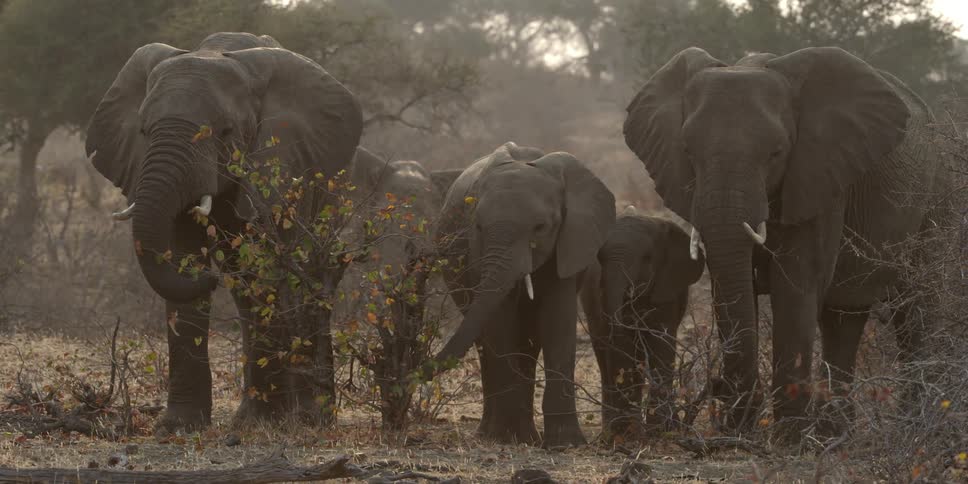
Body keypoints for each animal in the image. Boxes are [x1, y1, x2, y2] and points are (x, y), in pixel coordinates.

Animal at [86, 32, 363, 431]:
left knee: (309, 273)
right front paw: (178, 426)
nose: (210, 278)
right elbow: (180, 255)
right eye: (143, 131)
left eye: (226, 132)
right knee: (248, 293)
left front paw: (260, 426)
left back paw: (310, 418)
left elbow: (266, 267)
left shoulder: (282, 164)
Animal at [428, 141, 616, 448]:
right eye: (478, 226)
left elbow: (557, 320)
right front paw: (507, 438)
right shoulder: (477, 252)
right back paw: (495, 434)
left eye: (540, 227)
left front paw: (566, 444)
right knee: (487, 342)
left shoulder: (569, 241)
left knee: (529, 341)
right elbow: (501, 321)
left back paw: (527, 435)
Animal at [579, 211, 704, 440]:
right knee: (603, 354)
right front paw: (627, 436)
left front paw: (662, 432)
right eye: (600, 259)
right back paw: (612, 432)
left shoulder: (667, 288)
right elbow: (622, 346)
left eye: (647, 258)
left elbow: (662, 342)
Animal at [623, 46, 945, 435]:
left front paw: (789, 438)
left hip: (936, 200)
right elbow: (731, 283)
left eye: (776, 152)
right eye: (687, 151)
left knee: (914, 311)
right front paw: (740, 431)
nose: (715, 386)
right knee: (844, 318)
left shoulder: (818, 172)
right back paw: (835, 432)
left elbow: (796, 282)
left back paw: (914, 423)